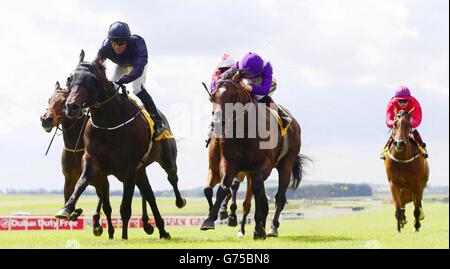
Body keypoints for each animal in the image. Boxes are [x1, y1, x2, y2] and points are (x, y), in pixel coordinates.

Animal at [55, 50, 185, 239]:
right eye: (70, 78)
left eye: (93, 80)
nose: (71, 106)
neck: (108, 123)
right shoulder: (93, 160)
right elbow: (81, 183)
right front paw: (67, 209)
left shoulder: (130, 166)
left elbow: (125, 207)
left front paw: (124, 237)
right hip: (141, 170)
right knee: (149, 194)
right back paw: (161, 230)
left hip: (166, 159)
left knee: (172, 177)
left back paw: (179, 202)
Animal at [200, 72, 306, 238]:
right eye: (212, 98)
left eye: (232, 96)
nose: (217, 124)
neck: (245, 132)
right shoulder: (229, 163)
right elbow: (223, 188)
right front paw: (210, 219)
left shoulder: (264, 165)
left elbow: (256, 190)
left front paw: (258, 228)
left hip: (286, 163)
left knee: (280, 197)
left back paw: (272, 228)